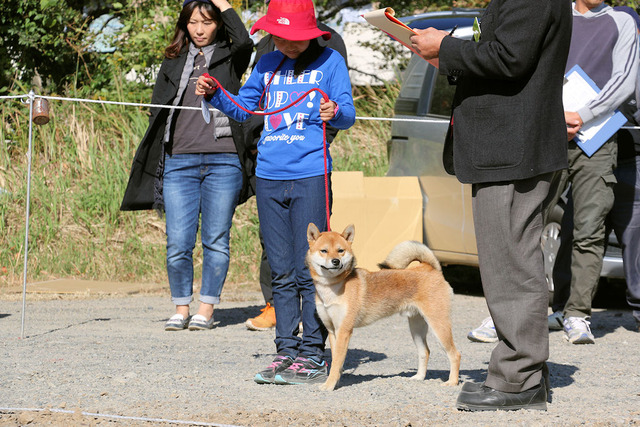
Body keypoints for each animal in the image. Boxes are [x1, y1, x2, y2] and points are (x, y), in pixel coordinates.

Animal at [306, 222, 460, 392]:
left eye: (341, 250)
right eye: (324, 251)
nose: (335, 261)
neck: (332, 287)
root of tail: (431, 268)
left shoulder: (344, 331)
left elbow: (336, 362)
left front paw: (329, 385)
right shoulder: (332, 330)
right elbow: (336, 361)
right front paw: (336, 382)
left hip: (438, 325)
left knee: (455, 354)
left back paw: (452, 382)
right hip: (416, 327)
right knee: (424, 351)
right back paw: (419, 377)